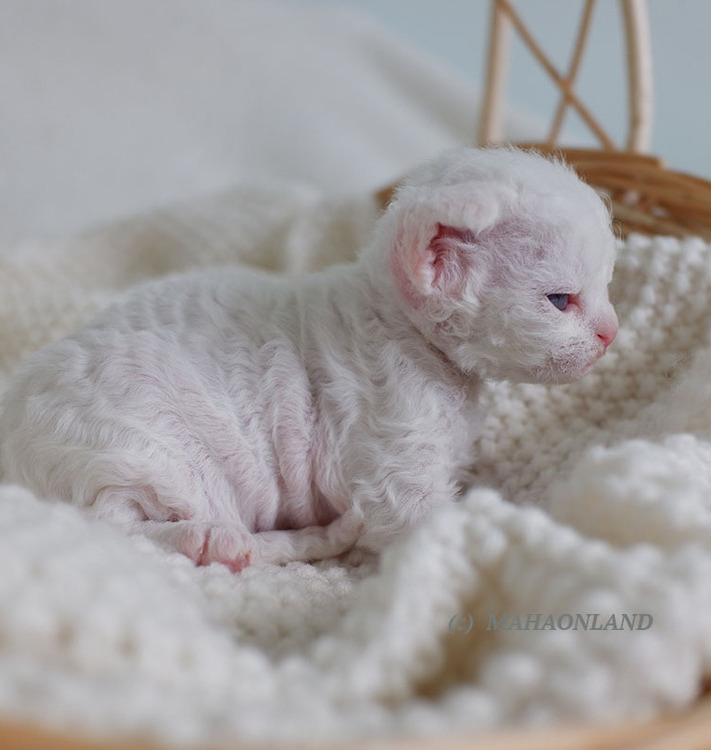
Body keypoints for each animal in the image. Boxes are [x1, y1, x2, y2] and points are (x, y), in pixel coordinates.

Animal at [0, 147, 616, 572]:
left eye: (607, 286)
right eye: (560, 301)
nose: (612, 332)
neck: (403, 329)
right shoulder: (393, 455)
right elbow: (426, 525)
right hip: (145, 458)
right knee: (110, 527)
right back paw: (224, 541)